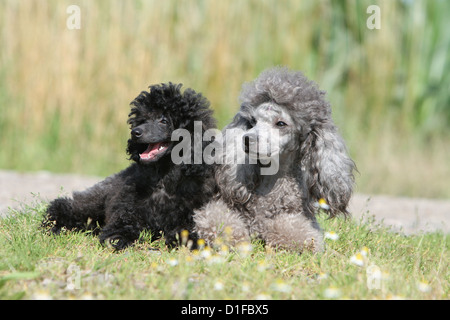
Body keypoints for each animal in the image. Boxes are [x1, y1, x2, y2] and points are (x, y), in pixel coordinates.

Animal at [43, 82, 217, 250]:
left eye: (164, 120)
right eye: (143, 119)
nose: (135, 132)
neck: (164, 180)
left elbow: (188, 229)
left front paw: (191, 242)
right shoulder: (127, 210)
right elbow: (123, 224)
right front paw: (119, 238)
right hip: (94, 203)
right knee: (67, 206)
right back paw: (54, 223)